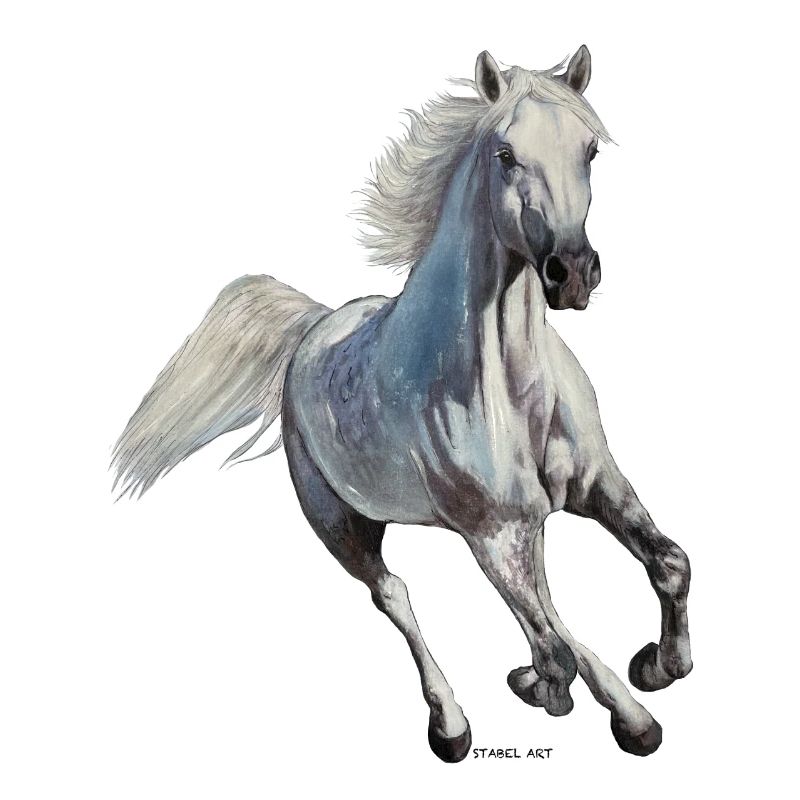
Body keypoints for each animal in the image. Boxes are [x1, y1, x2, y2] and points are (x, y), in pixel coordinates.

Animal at [112, 46, 692, 762]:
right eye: (505, 154)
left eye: (589, 151)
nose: (572, 273)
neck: (507, 388)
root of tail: (313, 328)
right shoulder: (491, 531)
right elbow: (555, 649)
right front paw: (564, 692)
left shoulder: (595, 485)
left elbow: (667, 564)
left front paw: (656, 669)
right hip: (342, 525)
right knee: (397, 594)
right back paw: (452, 723)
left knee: (547, 608)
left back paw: (615, 705)